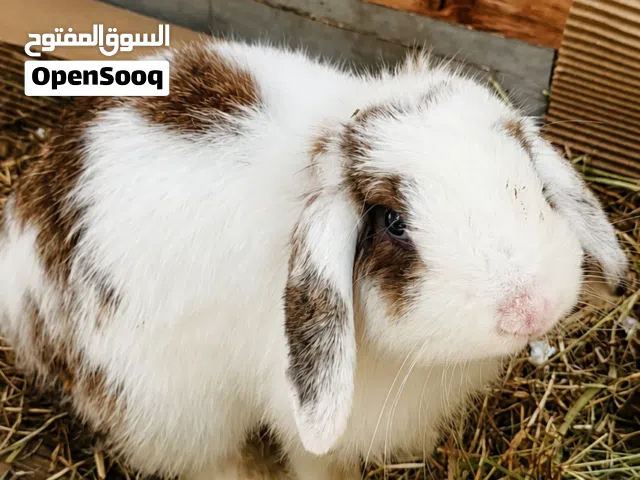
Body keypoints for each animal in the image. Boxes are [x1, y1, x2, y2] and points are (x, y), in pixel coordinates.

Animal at [0, 39, 628, 480]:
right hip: (166, 413)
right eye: (393, 223)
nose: (531, 307)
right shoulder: (302, 419)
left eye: (533, 186)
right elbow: (314, 459)